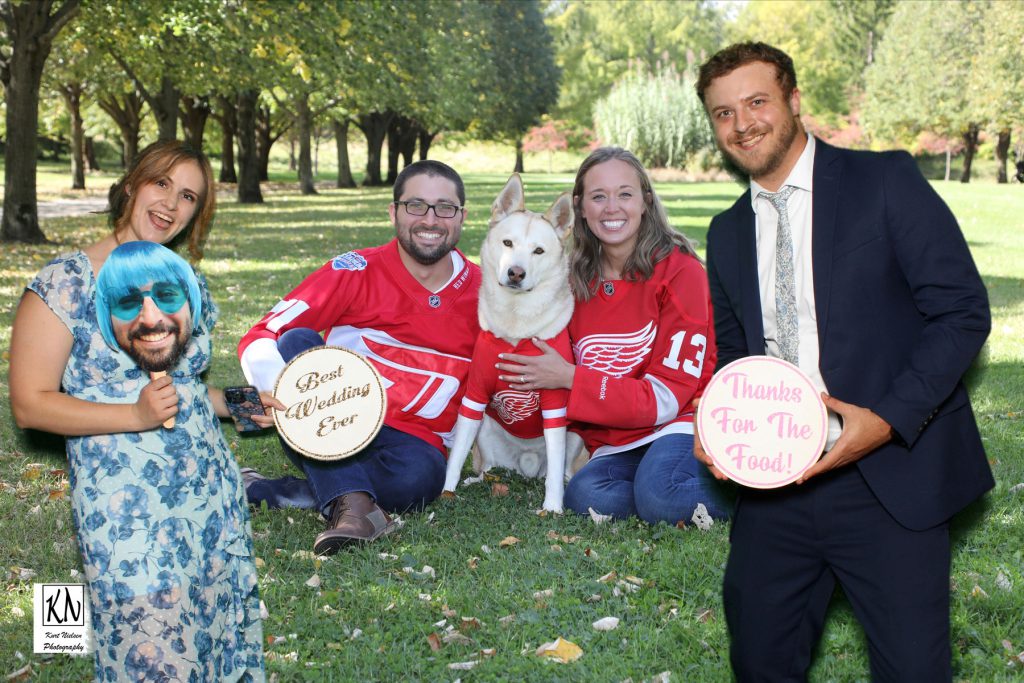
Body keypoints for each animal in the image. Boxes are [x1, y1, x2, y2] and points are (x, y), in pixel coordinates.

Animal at [442, 174, 581, 509]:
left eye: (539, 251)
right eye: (507, 243)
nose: (515, 273)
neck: (516, 327)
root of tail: (526, 464)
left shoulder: (555, 407)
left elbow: (554, 469)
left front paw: (553, 506)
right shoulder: (474, 396)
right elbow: (455, 457)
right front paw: (446, 492)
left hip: (576, 436)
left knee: (561, 468)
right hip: (485, 429)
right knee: (487, 467)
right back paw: (480, 479)